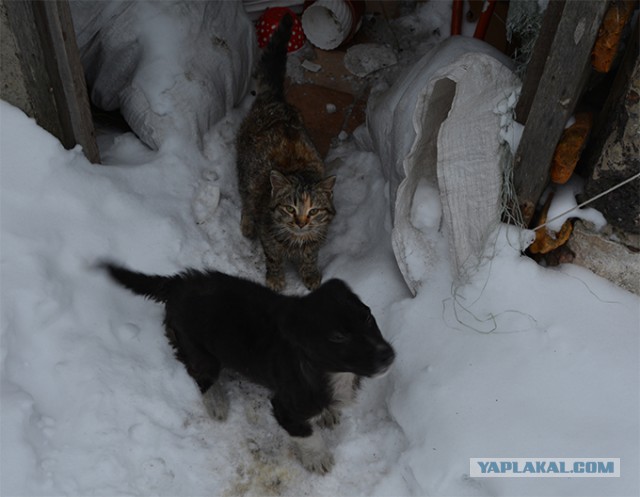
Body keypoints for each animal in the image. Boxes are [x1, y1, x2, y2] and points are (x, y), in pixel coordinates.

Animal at [101, 262, 396, 470]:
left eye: (367, 317)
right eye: (337, 337)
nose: (387, 356)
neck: (329, 371)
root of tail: (178, 285)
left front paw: (327, 413)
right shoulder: (284, 407)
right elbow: (306, 434)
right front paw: (317, 458)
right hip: (199, 351)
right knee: (199, 372)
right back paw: (216, 402)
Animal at [234, 14, 336, 290]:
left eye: (313, 211)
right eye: (290, 209)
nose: (301, 222)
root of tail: (273, 100)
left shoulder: (314, 241)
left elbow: (310, 256)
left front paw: (310, 274)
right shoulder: (268, 238)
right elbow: (273, 257)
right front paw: (276, 278)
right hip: (244, 172)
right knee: (245, 199)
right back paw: (247, 223)